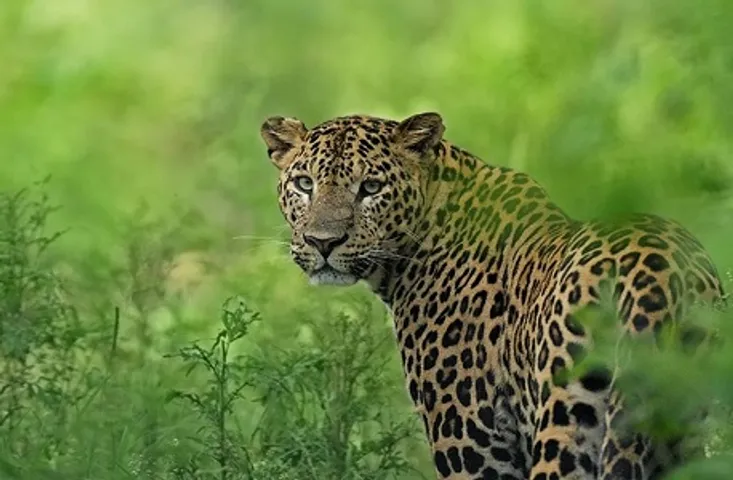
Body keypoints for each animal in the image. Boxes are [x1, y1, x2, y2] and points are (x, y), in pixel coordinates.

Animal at [259, 111, 725, 480]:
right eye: (304, 184)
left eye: (371, 188)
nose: (323, 242)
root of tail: (657, 272)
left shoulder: (470, 441)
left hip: (567, 422)